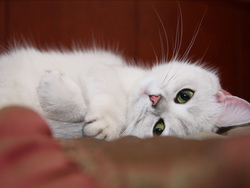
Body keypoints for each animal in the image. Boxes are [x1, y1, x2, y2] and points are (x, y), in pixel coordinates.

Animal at [0, 47, 250, 140]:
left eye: (159, 128)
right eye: (185, 95)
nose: (154, 100)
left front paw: (104, 126)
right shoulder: (102, 70)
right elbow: (106, 97)